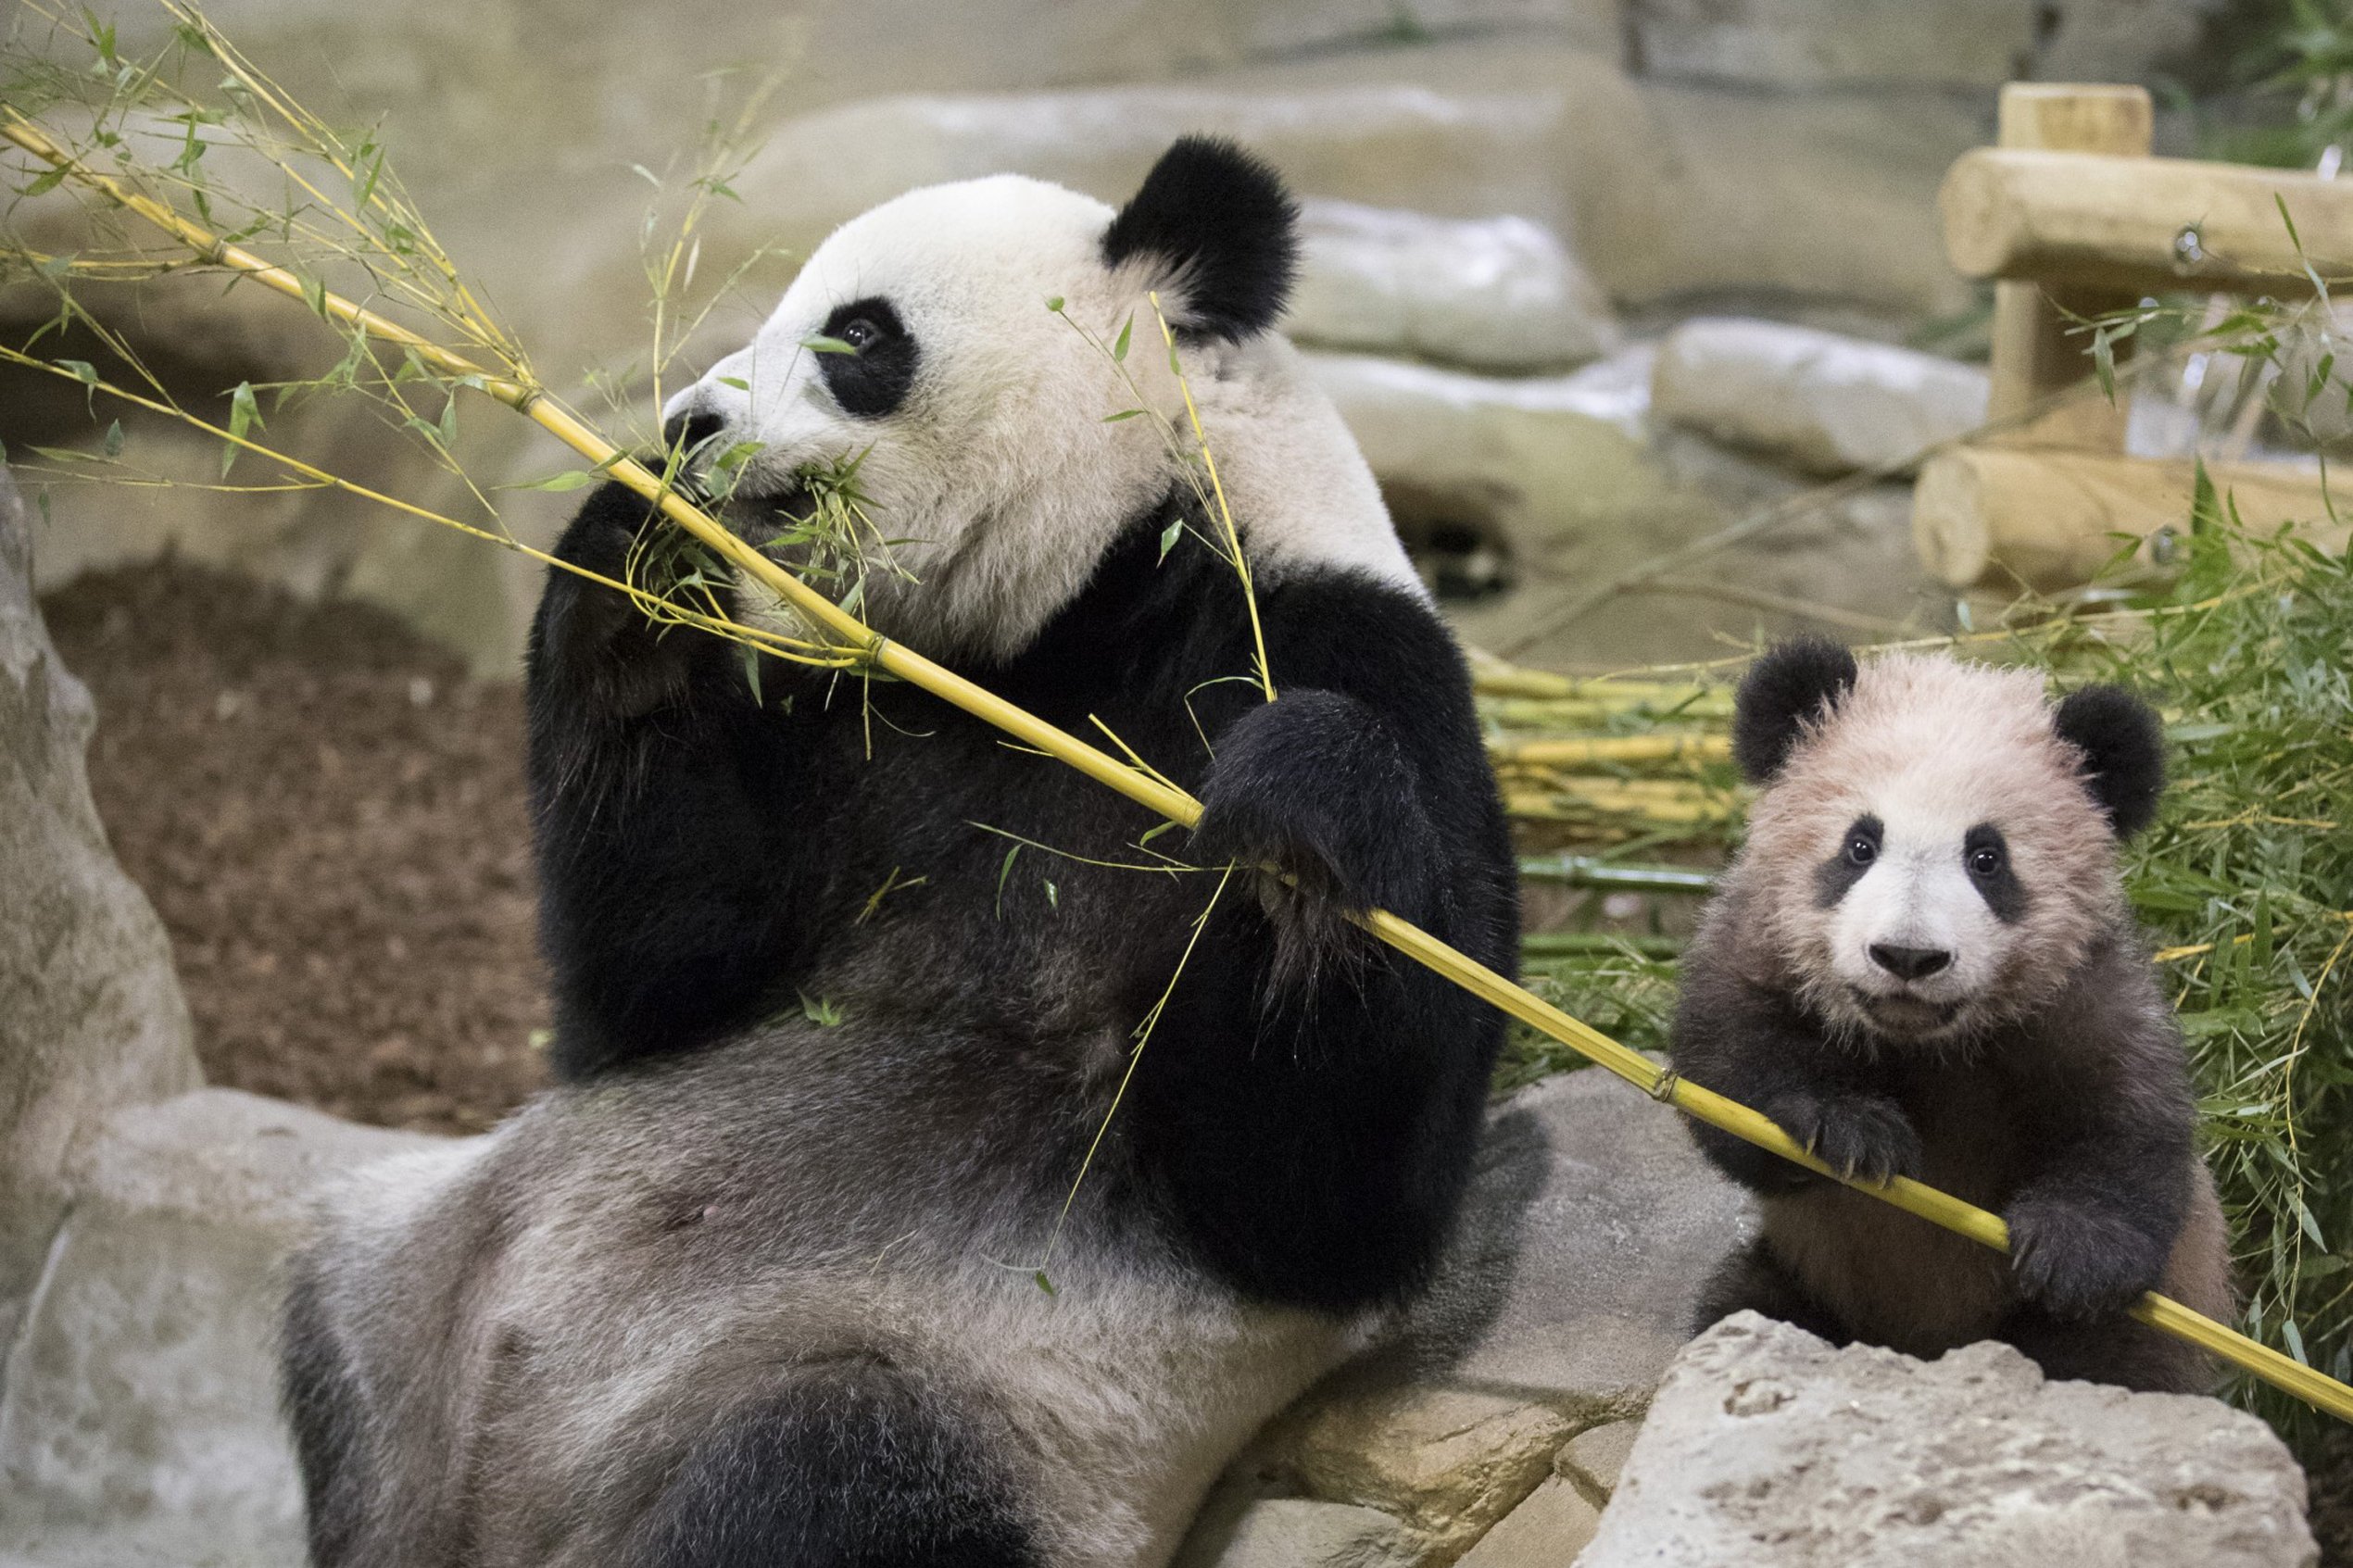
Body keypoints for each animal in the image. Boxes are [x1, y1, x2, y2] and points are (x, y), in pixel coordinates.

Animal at [280, 138, 1524, 1568]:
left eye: (858, 334)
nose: (689, 425)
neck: (1074, 624)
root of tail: (508, 1516)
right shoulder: (851, 721)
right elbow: (658, 983)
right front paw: (640, 558)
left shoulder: (1341, 654)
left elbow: (1321, 1202)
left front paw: (1296, 829)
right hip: (408, 1281)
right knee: (341, 1346)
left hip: (942, 1399)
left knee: (809, 1477)